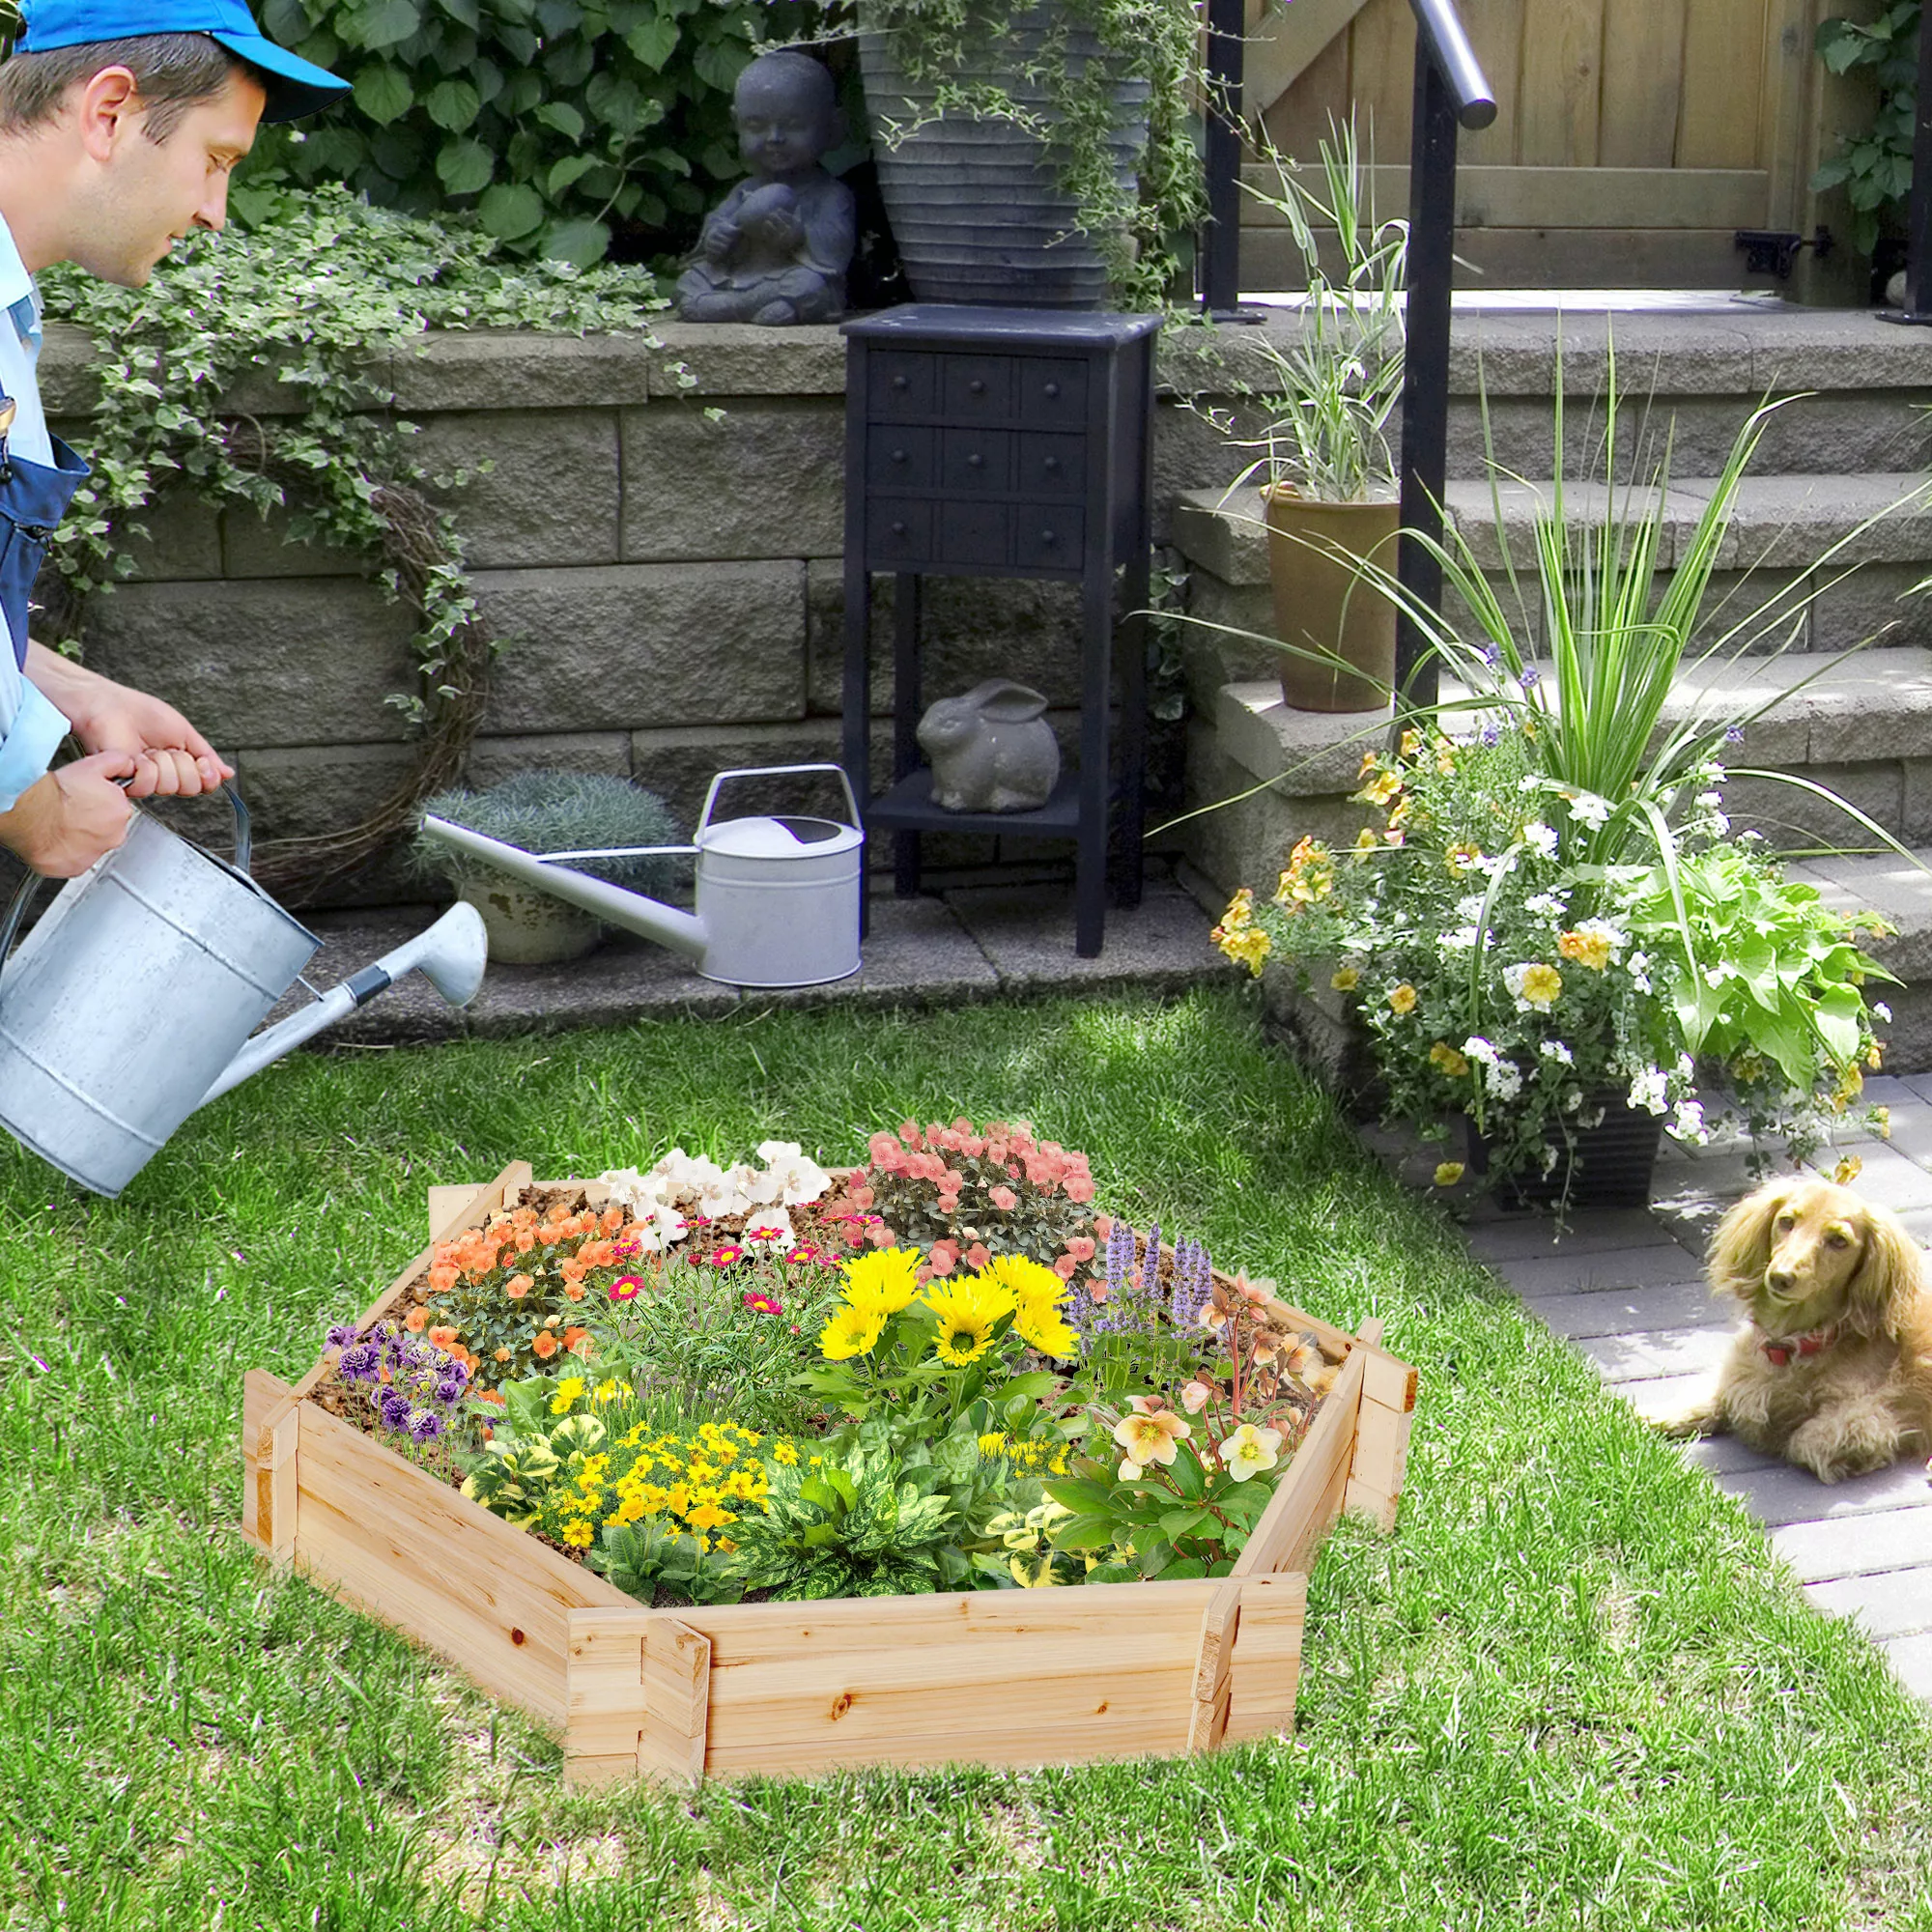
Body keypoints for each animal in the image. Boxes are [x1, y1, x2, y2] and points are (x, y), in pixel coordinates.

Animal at [1654, 1175, 1932, 1476]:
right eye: (1786, 1221)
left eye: (1839, 1240)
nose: (1780, 1277)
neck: (1792, 1345)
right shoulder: (1737, 1373)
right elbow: (1715, 1392)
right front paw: (1654, 1415)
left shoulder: (1867, 1414)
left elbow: (1805, 1440)